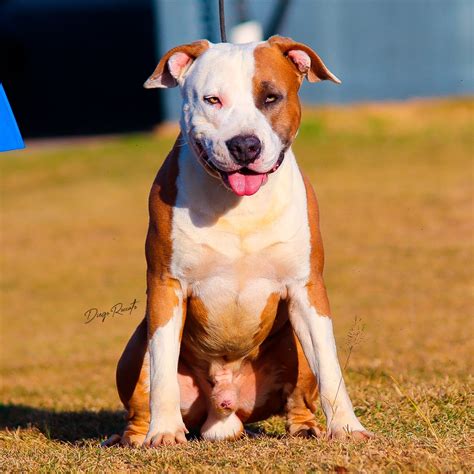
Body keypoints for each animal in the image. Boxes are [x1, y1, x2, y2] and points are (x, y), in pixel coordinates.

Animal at [104, 35, 374, 446]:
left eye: (271, 97)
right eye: (212, 100)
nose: (245, 145)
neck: (239, 206)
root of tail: (224, 412)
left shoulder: (307, 289)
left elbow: (330, 367)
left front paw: (346, 427)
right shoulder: (167, 286)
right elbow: (162, 372)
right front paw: (164, 431)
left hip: (293, 344)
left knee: (300, 399)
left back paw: (306, 428)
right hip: (136, 349)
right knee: (142, 396)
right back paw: (137, 436)